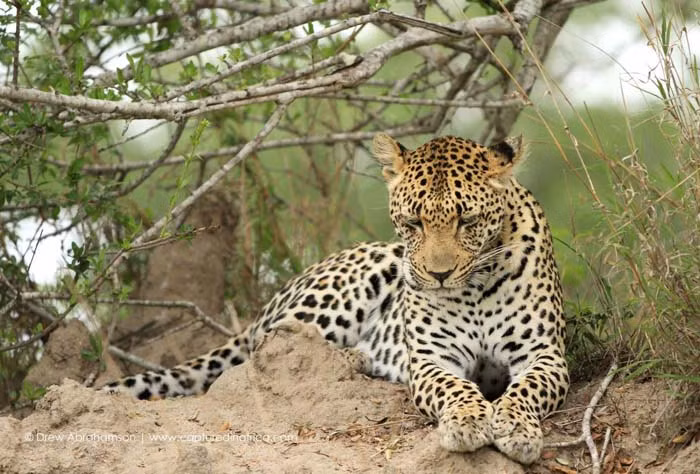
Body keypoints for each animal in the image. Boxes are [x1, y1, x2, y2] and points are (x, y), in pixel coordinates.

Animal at [102, 133, 569, 465]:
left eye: (467, 221)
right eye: (413, 222)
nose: (438, 275)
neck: (473, 287)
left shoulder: (545, 353)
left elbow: (527, 389)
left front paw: (516, 428)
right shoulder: (432, 359)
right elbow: (454, 388)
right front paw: (468, 421)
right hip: (353, 281)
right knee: (266, 350)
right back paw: (349, 358)